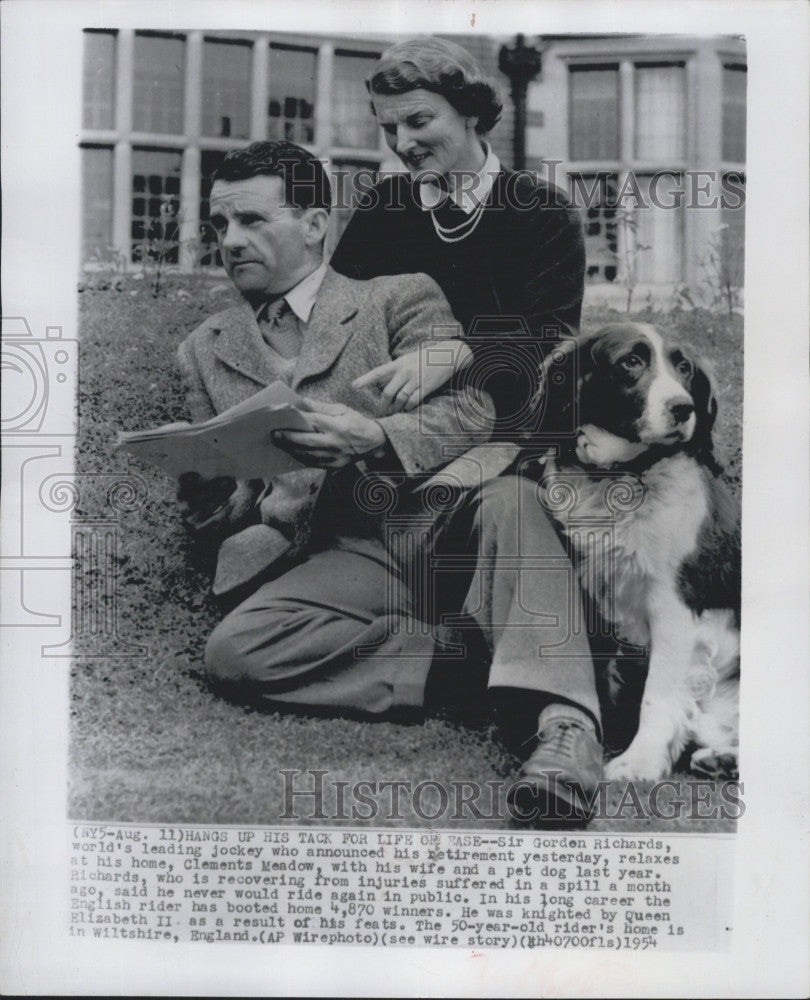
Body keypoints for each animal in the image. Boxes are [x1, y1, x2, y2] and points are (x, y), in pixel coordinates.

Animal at [532, 324, 740, 784]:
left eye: (684, 367)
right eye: (631, 361)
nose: (683, 407)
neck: (623, 479)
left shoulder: (674, 607)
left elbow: (657, 695)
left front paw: (639, 760)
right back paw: (721, 758)